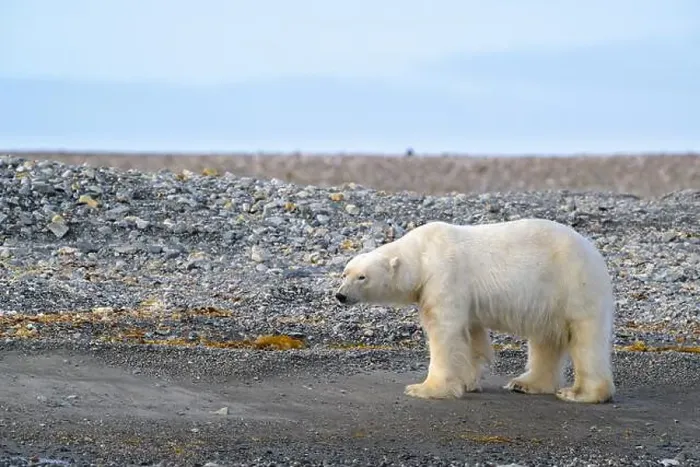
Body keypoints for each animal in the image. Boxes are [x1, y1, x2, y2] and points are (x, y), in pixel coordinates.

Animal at [334, 218, 616, 404]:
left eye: (362, 277)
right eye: (344, 273)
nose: (340, 295)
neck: (423, 254)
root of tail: (596, 255)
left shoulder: (444, 276)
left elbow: (444, 332)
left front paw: (426, 388)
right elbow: (471, 335)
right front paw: (468, 381)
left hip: (574, 285)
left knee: (585, 340)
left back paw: (581, 393)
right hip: (548, 300)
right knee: (545, 339)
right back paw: (526, 383)